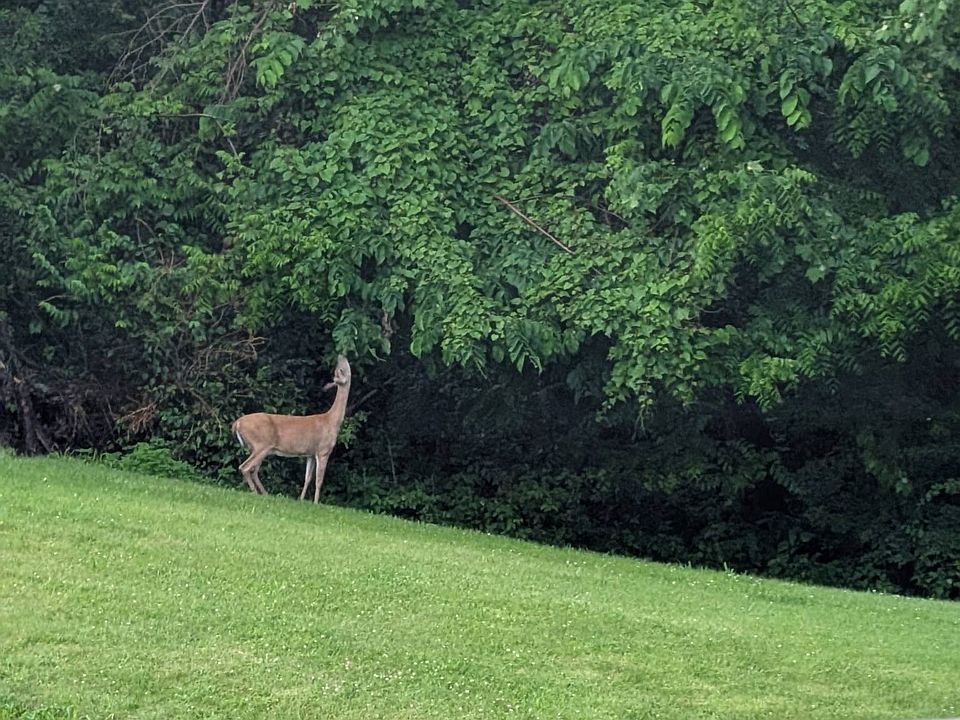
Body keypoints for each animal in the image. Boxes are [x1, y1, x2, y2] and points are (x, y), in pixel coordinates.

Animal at [231, 355, 351, 503]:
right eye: (343, 368)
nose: (342, 355)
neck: (331, 421)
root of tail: (237, 423)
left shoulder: (310, 453)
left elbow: (307, 478)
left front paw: (301, 500)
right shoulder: (323, 450)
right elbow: (319, 480)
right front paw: (316, 503)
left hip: (257, 448)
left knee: (253, 470)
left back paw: (265, 493)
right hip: (261, 444)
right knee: (245, 467)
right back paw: (256, 493)